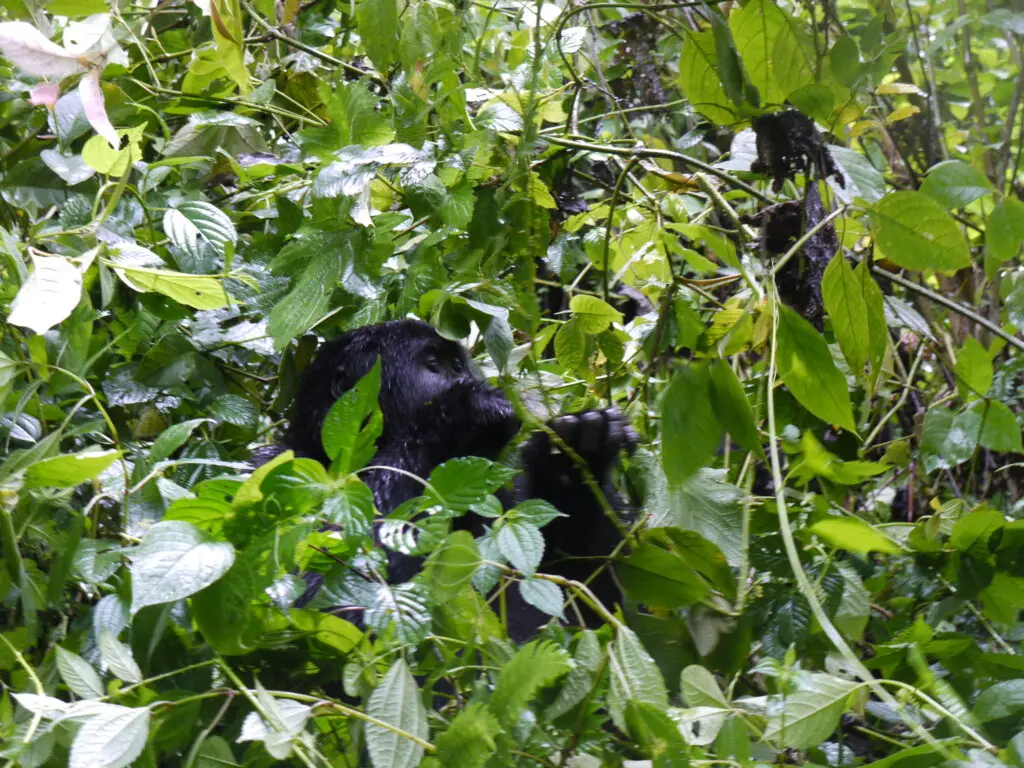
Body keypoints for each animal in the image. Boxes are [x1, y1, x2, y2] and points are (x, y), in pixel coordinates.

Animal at [254, 318, 637, 640]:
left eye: (457, 365)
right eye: (433, 365)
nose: (462, 378)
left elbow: (606, 611)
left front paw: (577, 457)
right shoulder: (267, 468)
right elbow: (310, 601)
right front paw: (463, 407)